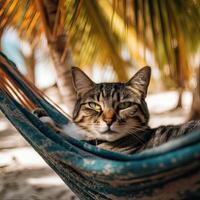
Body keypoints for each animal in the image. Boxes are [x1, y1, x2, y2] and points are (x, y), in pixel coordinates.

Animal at [33, 66, 200, 154]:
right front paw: (42, 113)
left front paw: (47, 121)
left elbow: (65, 135)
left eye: (124, 105)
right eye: (94, 105)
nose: (109, 121)